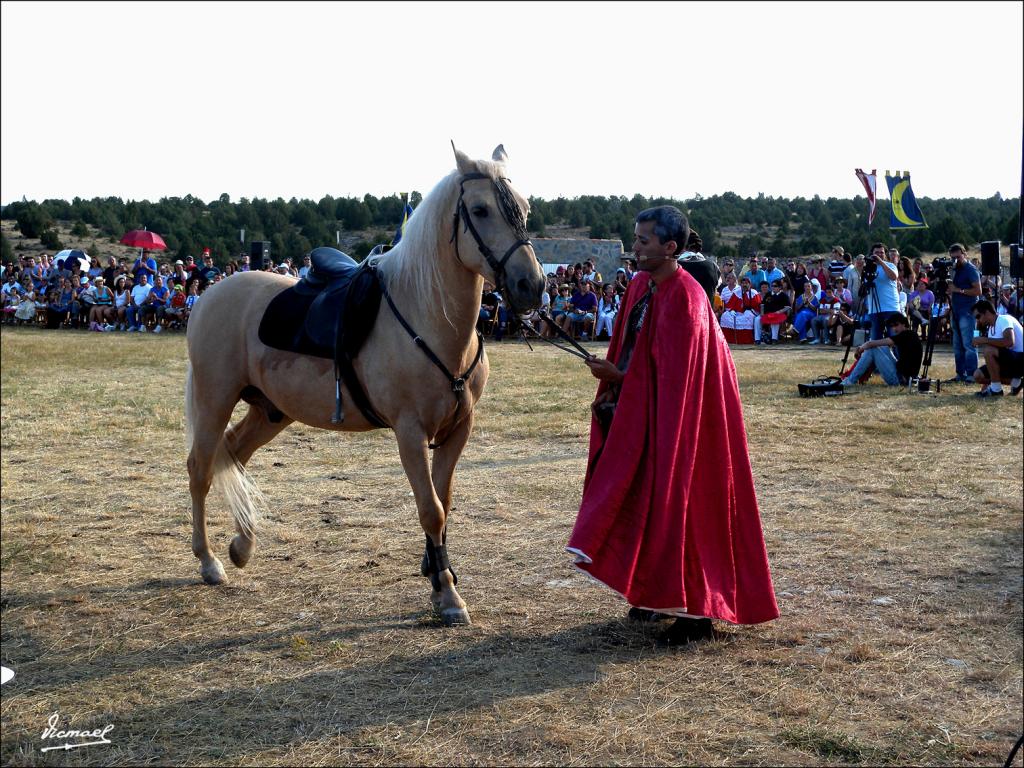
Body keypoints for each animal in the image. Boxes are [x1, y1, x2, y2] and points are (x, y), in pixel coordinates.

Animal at [188, 145, 548, 626]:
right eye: (479, 210)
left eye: (524, 209)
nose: (533, 285)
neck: (427, 316)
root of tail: (210, 293)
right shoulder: (410, 432)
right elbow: (431, 510)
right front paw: (447, 595)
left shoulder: (458, 429)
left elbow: (443, 501)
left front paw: (437, 573)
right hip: (215, 398)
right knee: (201, 469)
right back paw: (208, 561)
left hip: (270, 411)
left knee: (235, 454)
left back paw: (242, 546)